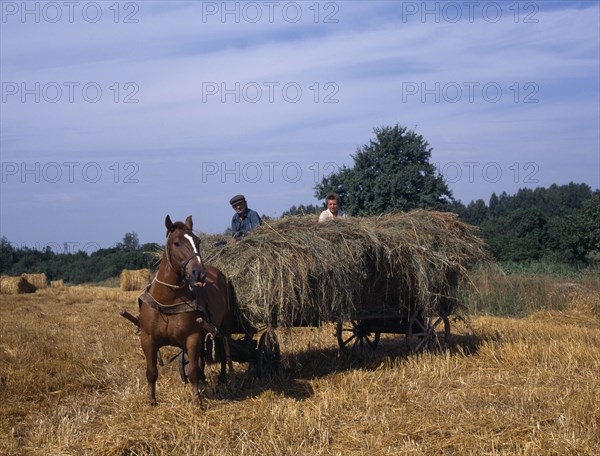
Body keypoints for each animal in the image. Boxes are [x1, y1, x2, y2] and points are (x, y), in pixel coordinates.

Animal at [139, 215, 233, 406]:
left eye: (198, 241)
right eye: (177, 243)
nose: (199, 273)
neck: (168, 301)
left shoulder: (192, 337)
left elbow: (193, 371)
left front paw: (197, 400)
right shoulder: (147, 339)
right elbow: (151, 371)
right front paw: (151, 400)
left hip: (224, 327)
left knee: (223, 349)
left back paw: (222, 378)